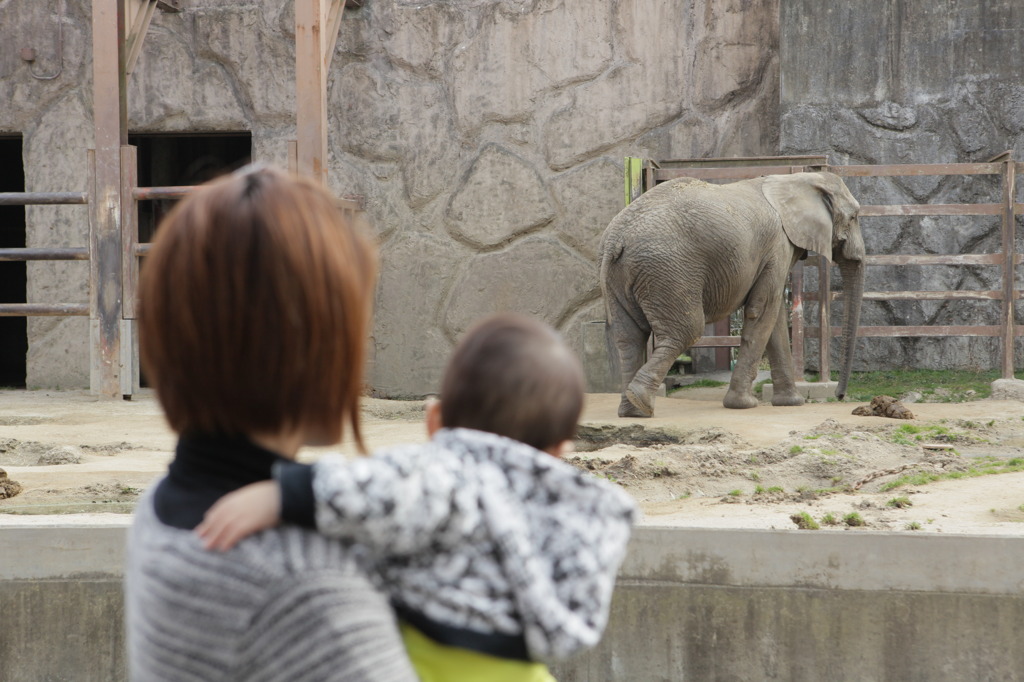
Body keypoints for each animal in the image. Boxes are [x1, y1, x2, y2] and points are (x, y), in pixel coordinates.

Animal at [598, 169, 868, 413]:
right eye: (854, 216)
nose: (840, 396)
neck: (797, 178)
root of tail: (617, 239)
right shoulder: (777, 246)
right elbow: (762, 311)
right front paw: (743, 405)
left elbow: (775, 319)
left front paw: (792, 403)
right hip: (667, 270)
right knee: (686, 331)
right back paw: (640, 401)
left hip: (619, 276)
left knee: (629, 337)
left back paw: (631, 410)